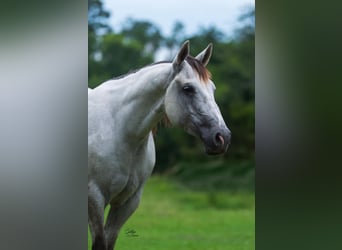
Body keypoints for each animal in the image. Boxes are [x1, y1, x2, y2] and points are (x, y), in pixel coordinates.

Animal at [88, 40, 232, 249]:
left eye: (212, 89)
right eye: (188, 89)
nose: (222, 137)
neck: (118, 129)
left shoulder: (127, 202)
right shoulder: (94, 198)